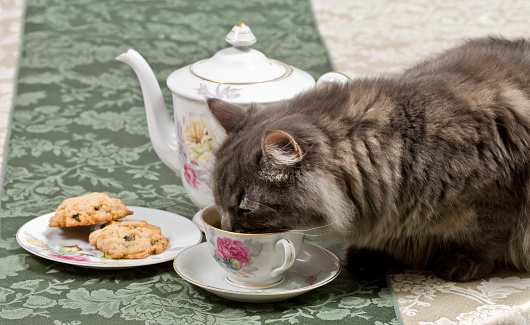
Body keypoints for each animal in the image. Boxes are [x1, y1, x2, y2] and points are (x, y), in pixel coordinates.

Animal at [205, 37, 528, 280]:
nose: (227, 230)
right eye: (219, 204)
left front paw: (464, 262)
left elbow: (485, 239)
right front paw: (368, 256)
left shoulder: (495, 197)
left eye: (245, 209)